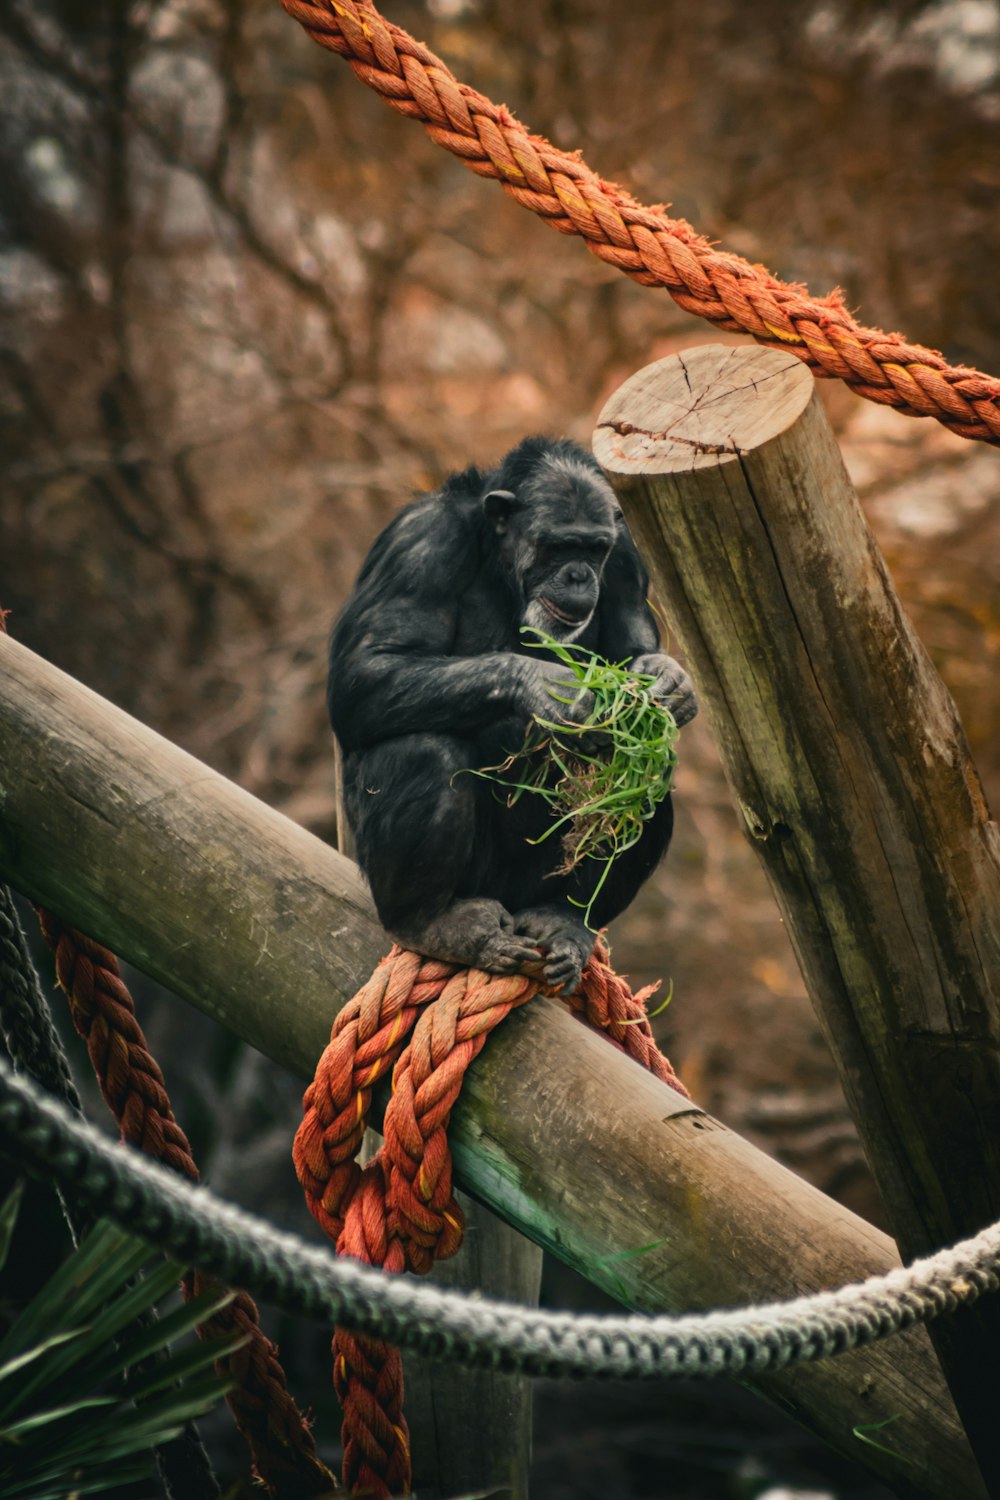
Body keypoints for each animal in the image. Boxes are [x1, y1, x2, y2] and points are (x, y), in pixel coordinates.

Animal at [328, 435, 695, 996]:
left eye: (594, 549)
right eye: (559, 546)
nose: (579, 574)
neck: (501, 564)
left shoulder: (626, 559)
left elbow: (633, 650)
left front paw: (669, 684)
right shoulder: (418, 545)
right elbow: (367, 669)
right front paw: (550, 688)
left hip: (534, 884)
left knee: (646, 782)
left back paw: (565, 919)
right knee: (423, 749)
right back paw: (432, 922)